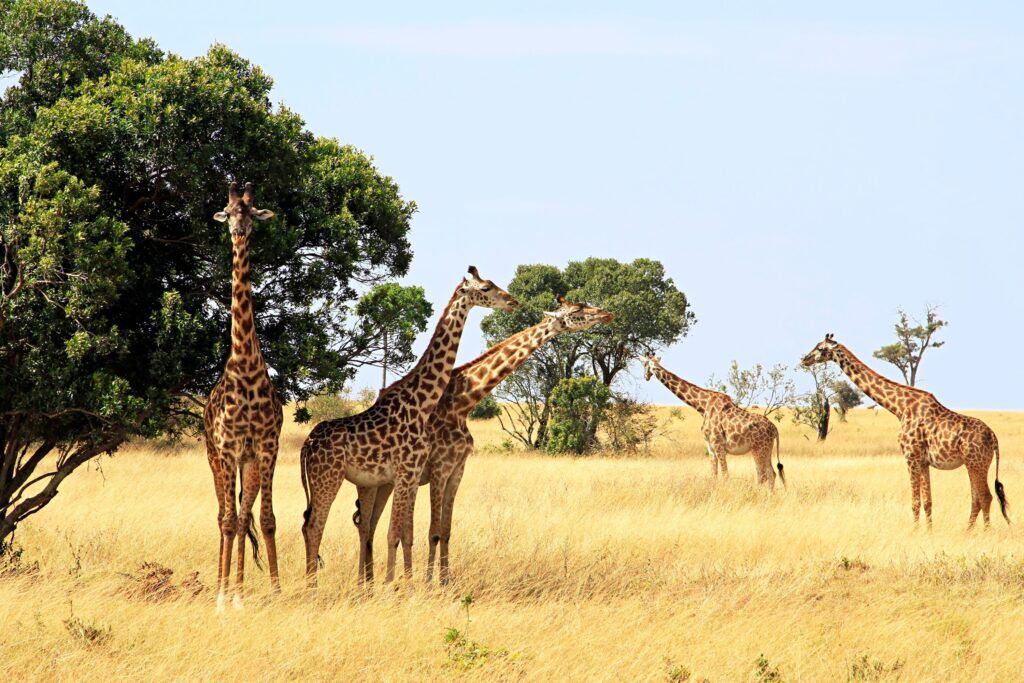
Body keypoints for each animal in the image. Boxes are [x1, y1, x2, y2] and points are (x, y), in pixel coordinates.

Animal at [299, 266, 516, 589]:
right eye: (486, 288)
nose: (512, 301)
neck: (421, 403)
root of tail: (306, 446)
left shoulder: (411, 475)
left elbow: (405, 533)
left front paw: (405, 584)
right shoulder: (408, 471)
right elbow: (396, 533)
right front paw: (396, 587)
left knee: (321, 525)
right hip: (329, 478)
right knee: (315, 526)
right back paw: (313, 588)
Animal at [362, 294, 610, 581]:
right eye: (578, 310)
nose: (607, 314)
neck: (462, 402)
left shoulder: (458, 469)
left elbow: (445, 531)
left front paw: (444, 581)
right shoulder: (439, 469)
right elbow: (432, 532)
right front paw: (428, 582)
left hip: (391, 481)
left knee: (372, 524)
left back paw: (371, 581)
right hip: (383, 480)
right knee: (368, 525)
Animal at [638, 358, 782, 485]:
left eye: (645, 364)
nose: (646, 376)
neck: (702, 406)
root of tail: (774, 429)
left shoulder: (718, 445)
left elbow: (725, 475)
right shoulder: (710, 447)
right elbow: (714, 475)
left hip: (759, 448)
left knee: (762, 475)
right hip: (766, 448)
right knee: (771, 474)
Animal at [798, 335, 1007, 528]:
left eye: (820, 348)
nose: (804, 359)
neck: (900, 408)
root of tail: (994, 437)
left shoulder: (910, 457)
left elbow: (915, 503)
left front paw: (914, 532)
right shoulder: (923, 461)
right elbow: (928, 502)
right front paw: (928, 533)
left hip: (976, 462)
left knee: (985, 497)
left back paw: (984, 532)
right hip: (972, 464)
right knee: (976, 499)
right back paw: (967, 532)